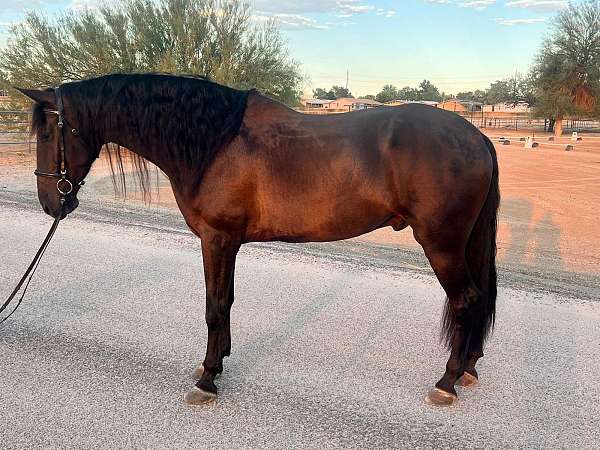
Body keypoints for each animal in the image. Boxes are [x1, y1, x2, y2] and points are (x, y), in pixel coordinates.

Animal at [16, 72, 500, 406]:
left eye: (50, 132)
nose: (50, 203)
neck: (213, 143)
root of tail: (477, 136)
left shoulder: (217, 238)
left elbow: (214, 306)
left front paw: (207, 380)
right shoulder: (227, 242)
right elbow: (226, 302)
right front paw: (217, 362)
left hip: (441, 245)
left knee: (466, 301)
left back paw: (446, 382)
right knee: (477, 299)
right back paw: (468, 369)